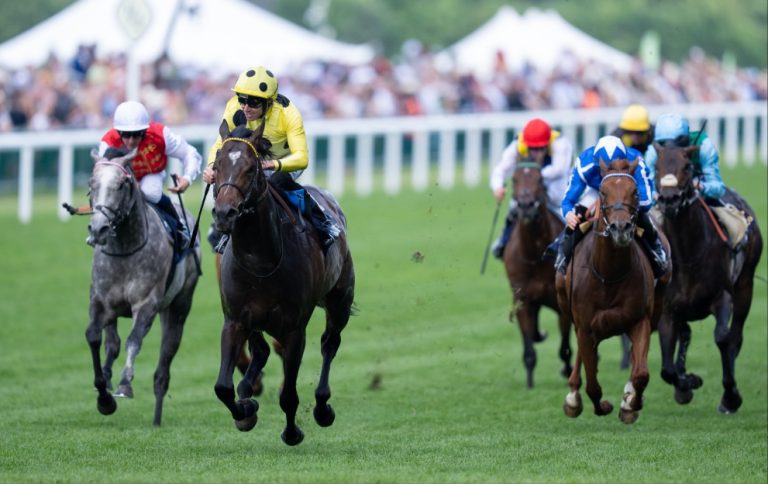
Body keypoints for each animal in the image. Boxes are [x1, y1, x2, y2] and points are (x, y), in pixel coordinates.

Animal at [83, 149, 201, 426]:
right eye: (92, 184)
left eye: (121, 185)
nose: (99, 229)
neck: (125, 249)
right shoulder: (101, 301)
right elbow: (95, 337)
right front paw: (104, 395)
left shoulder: (147, 303)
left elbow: (133, 340)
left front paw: (124, 384)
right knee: (112, 343)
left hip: (179, 305)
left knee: (165, 359)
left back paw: (157, 412)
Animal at [210, 121, 354, 446]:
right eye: (216, 165)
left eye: (251, 168)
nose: (225, 213)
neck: (260, 260)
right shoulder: (235, 320)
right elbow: (222, 387)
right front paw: (245, 411)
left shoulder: (293, 329)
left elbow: (288, 394)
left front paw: (292, 432)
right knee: (261, 350)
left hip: (340, 299)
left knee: (330, 343)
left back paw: (323, 407)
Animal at [504, 161, 568, 388]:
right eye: (514, 179)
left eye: (540, 179)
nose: (526, 206)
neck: (535, 254)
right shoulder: (523, 300)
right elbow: (529, 349)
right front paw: (530, 385)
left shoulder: (562, 302)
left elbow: (565, 348)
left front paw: (568, 370)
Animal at [556, 158, 668, 424]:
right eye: (603, 192)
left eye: (635, 191)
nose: (620, 228)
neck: (608, 275)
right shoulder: (586, 326)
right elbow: (593, 385)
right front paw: (601, 405)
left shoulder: (640, 321)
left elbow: (641, 374)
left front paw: (630, 403)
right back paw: (573, 396)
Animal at [652, 143, 760, 412]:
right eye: (656, 167)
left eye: (687, 166)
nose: (669, 199)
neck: (687, 253)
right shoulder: (668, 309)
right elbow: (666, 369)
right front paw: (687, 384)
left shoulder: (722, 296)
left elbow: (723, 337)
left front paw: (731, 396)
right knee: (686, 334)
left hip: (746, 285)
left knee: (736, 335)